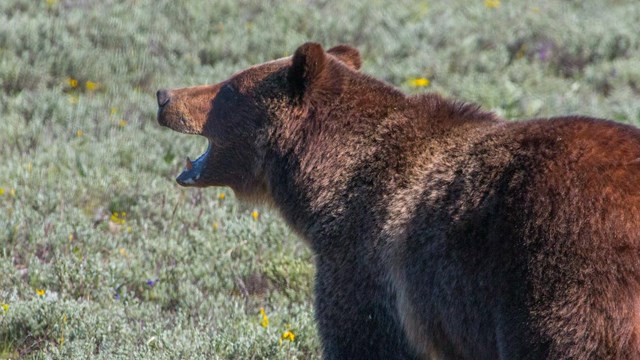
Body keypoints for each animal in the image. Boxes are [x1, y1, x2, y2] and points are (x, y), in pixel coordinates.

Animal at [155, 43, 640, 360]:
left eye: (228, 88)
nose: (164, 96)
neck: (329, 180)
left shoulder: (367, 264)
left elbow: (361, 337)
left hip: (560, 274)